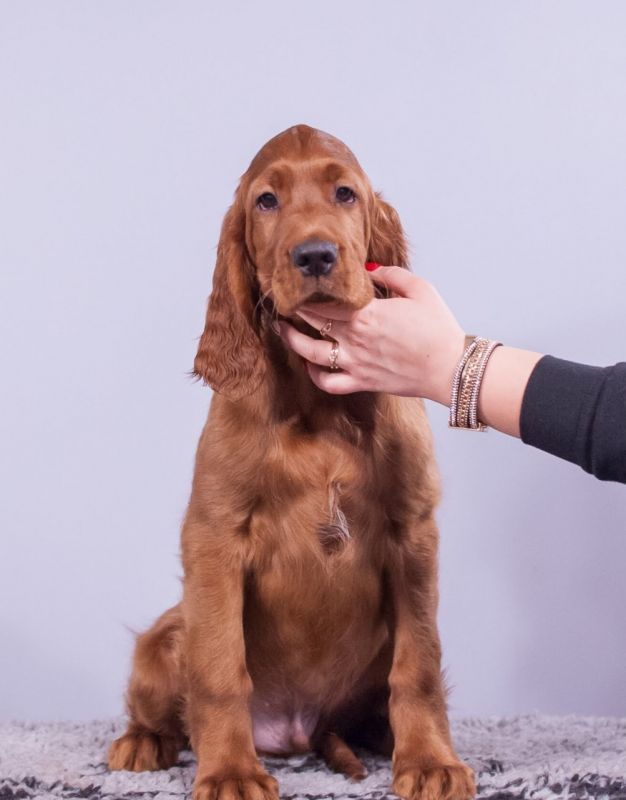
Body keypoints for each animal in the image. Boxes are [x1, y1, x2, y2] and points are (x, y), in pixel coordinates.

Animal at [108, 124, 475, 800]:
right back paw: (146, 740)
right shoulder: (214, 535)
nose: (315, 256)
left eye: (345, 193)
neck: (318, 404)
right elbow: (220, 669)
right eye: (266, 201)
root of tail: (299, 732)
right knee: (167, 694)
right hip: (166, 636)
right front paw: (229, 771)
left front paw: (430, 761)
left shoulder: (413, 532)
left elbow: (420, 666)